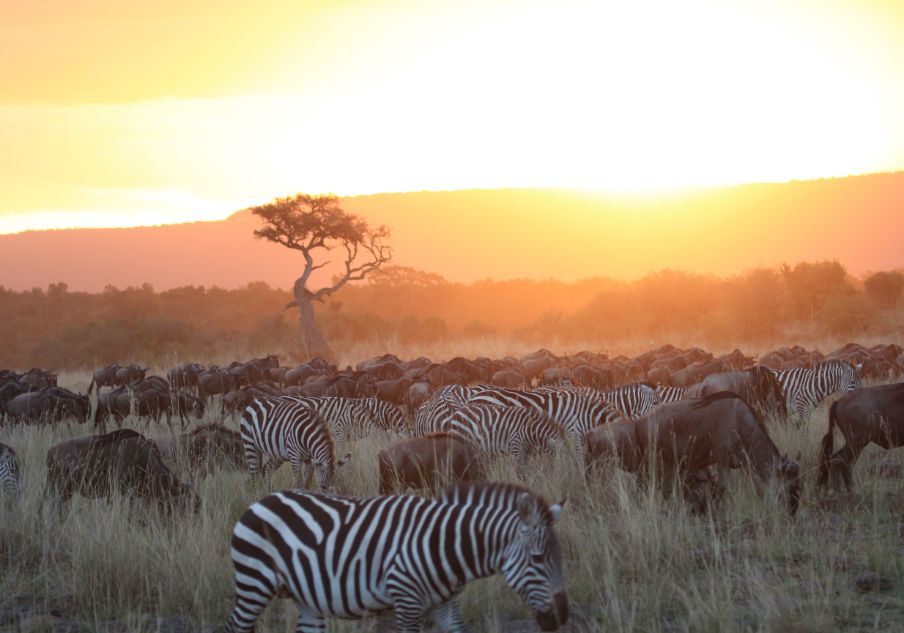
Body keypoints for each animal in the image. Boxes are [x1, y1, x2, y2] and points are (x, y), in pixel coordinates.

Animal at [224, 482, 564, 628]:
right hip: (255, 584)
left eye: (557, 559)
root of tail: (261, 500)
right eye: (537, 559)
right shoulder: (407, 600)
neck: (444, 544)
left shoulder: (445, 605)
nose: (561, 618)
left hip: (305, 598)